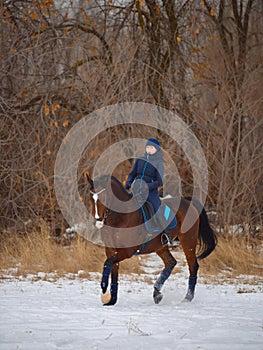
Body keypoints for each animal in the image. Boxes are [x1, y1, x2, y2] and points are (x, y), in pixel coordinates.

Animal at [85, 174, 218, 304]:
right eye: (91, 198)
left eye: (104, 197)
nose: (98, 221)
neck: (121, 217)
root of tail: (187, 201)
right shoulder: (111, 249)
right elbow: (113, 269)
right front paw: (111, 299)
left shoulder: (127, 251)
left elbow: (107, 263)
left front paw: (103, 289)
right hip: (160, 246)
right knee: (171, 262)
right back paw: (157, 294)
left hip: (188, 241)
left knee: (192, 266)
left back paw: (187, 298)